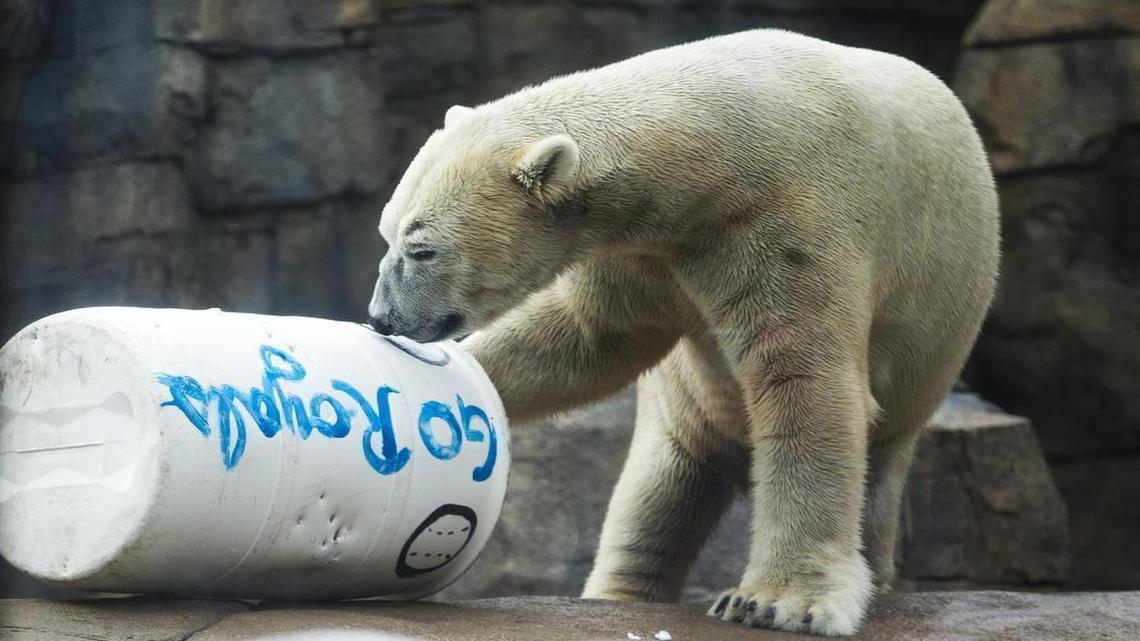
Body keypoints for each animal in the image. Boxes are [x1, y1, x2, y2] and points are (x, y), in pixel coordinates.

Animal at [366, 29, 999, 636]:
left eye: (422, 249)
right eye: (385, 232)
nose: (380, 317)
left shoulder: (789, 222)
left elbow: (802, 379)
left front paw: (775, 604)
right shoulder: (644, 250)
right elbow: (589, 336)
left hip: (915, 387)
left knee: (872, 482)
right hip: (682, 411)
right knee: (654, 498)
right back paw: (617, 595)